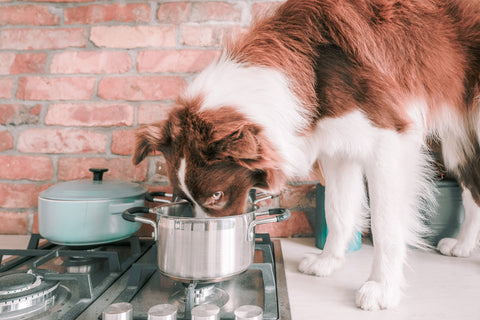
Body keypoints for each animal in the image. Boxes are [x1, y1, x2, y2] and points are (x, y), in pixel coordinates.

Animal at [131, 0, 480, 310]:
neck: (313, 66)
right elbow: (338, 210)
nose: (206, 250)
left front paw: (381, 289)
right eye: (182, 199)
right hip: (459, 137)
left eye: (216, 196)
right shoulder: (339, 147)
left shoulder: (389, 139)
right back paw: (462, 246)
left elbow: (385, 226)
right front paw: (328, 262)